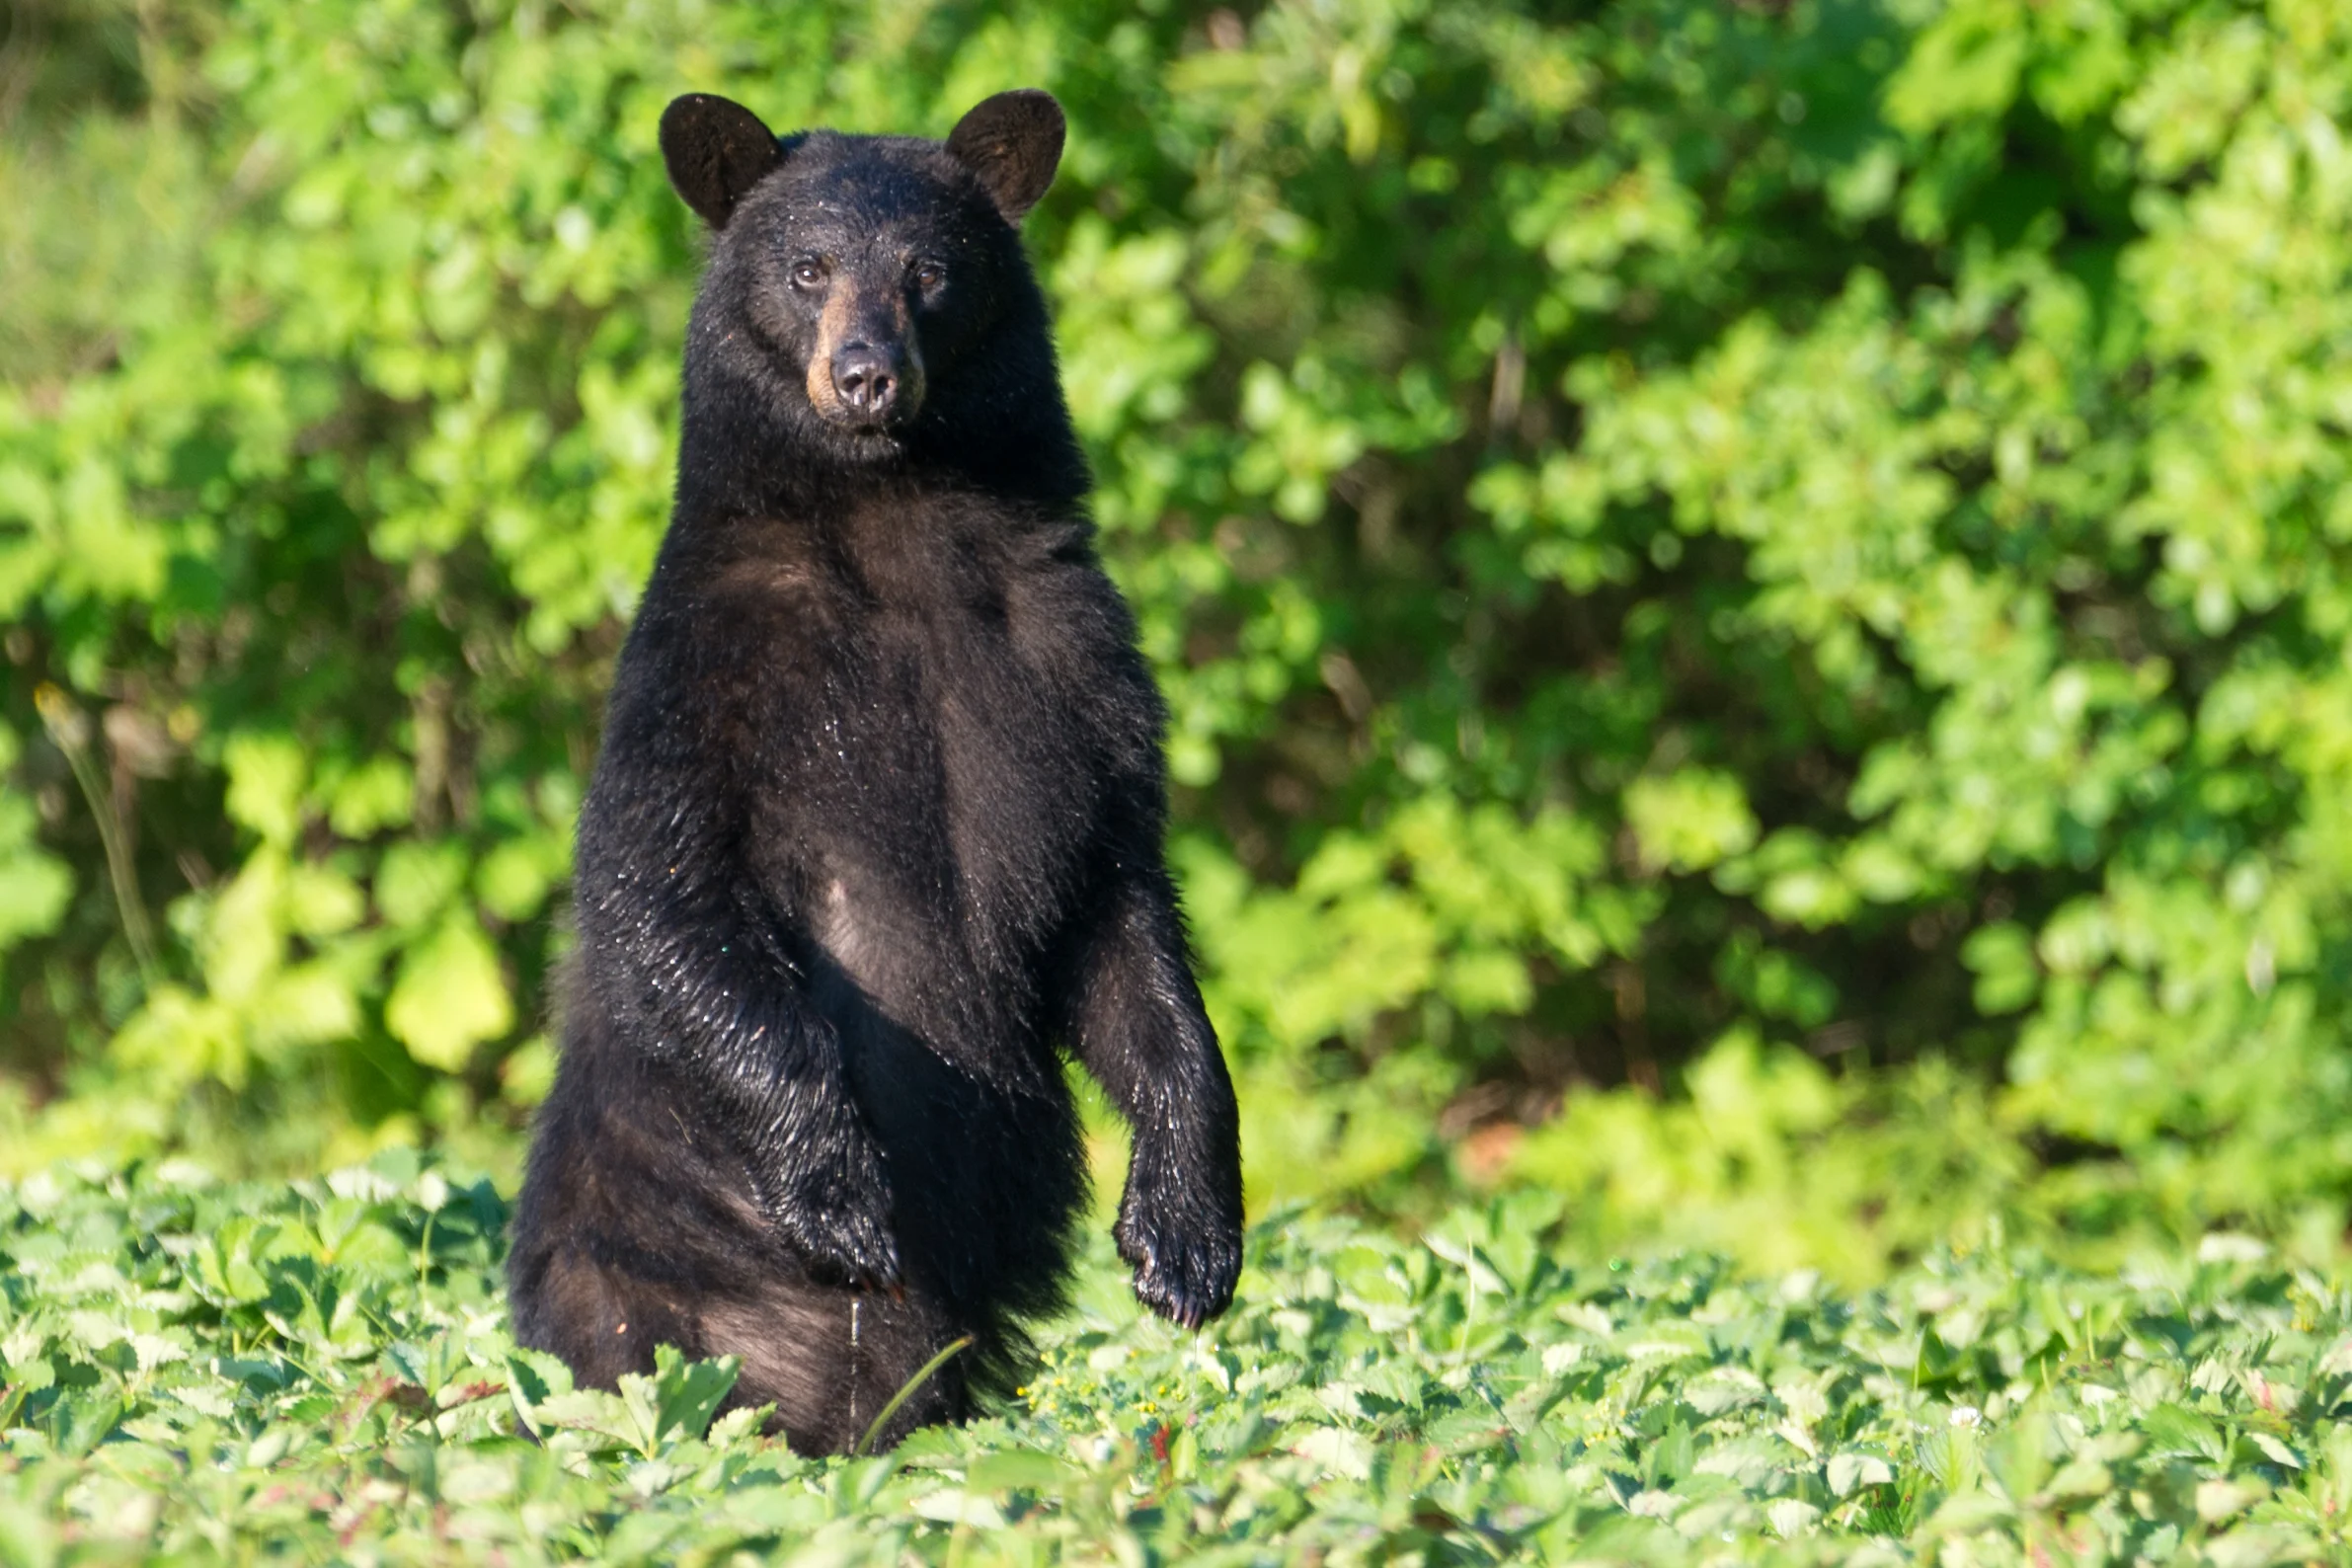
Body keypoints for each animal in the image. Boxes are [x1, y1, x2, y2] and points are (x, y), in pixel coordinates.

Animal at [505, 88, 1244, 1455]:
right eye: (806, 267)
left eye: (931, 271)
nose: (865, 375)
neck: (896, 522)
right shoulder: (708, 671)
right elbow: (665, 888)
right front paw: (839, 1193)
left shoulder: (1076, 673)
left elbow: (1122, 921)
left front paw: (1183, 1240)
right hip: (649, 1326)